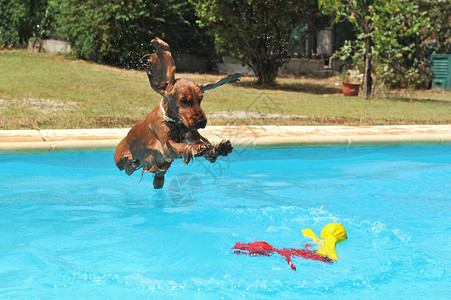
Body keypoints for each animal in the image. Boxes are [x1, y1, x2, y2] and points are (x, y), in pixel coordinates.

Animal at [115, 37, 242, 188]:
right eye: (184, 100)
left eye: (200, 99)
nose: (202, 122)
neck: (176, 123)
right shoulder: (167, 146)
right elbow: (183, 146)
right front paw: (197, 148)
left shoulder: (192, 136)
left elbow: (209, 150)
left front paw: (221, 147)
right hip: (120, 159)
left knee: (158, 175)